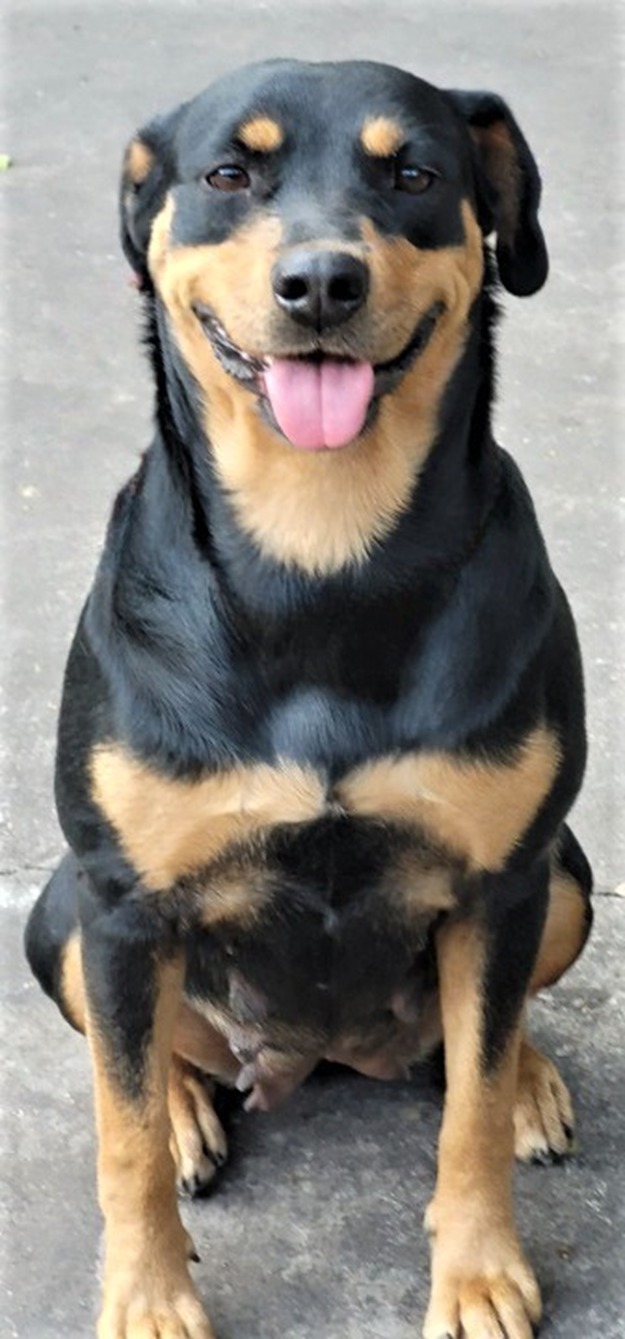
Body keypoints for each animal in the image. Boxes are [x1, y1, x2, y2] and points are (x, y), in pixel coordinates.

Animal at [24, 60, 591, 1339]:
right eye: (230, 173)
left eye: (414, 174)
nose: (322, 281)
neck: (321, 551)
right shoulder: (120, 903)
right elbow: (122, 1133)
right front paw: (148, 1294)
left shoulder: (502, 878)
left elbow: (472, 1107)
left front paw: (477, 1270)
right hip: (57, 914)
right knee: (146, 1056)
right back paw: (193, 1105)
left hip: (567, 873)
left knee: (488, 1039)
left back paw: (533, 1082)